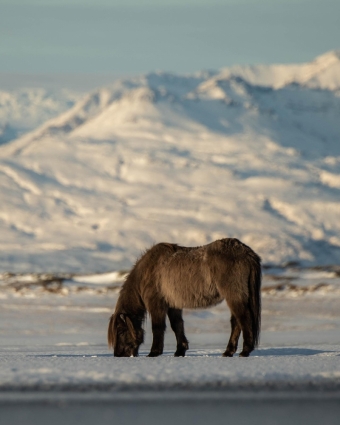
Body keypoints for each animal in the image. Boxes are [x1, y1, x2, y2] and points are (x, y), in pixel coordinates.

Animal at [107, 237, 262, 356]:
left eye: (121, 331)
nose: (118, 354)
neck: (147, 272)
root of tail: (247, 253)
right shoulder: (173, 305)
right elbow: (177, 325)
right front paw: (180, 350)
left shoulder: (156, 304)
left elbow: (157, 327)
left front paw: (154, 352)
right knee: (236, 322)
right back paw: (228, 352)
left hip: (234, 296)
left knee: (244, 319)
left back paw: (245, 351)